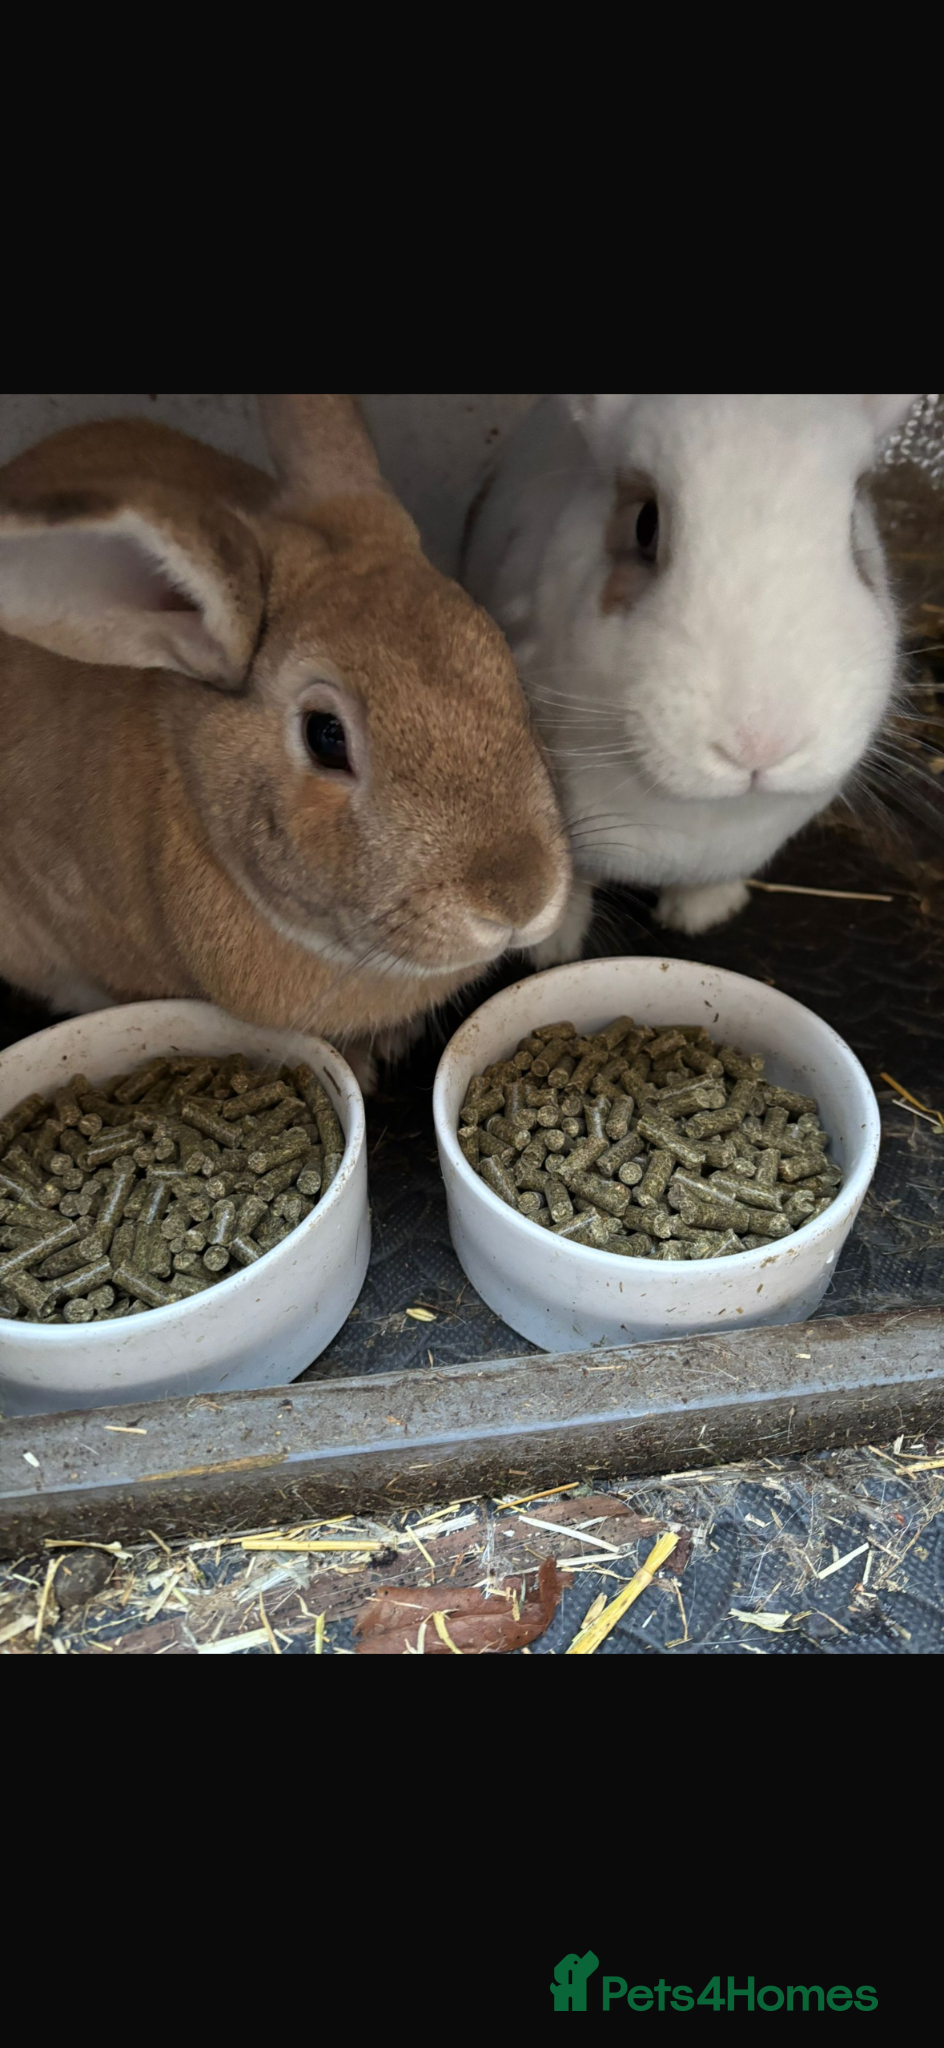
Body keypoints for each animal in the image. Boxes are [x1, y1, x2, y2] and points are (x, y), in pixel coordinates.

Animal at [463, 393, 917, 963]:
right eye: (645, 524)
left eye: (854, 529)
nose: (760, 744)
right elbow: (573, 880)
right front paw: (555, 947)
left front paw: (703, 915)